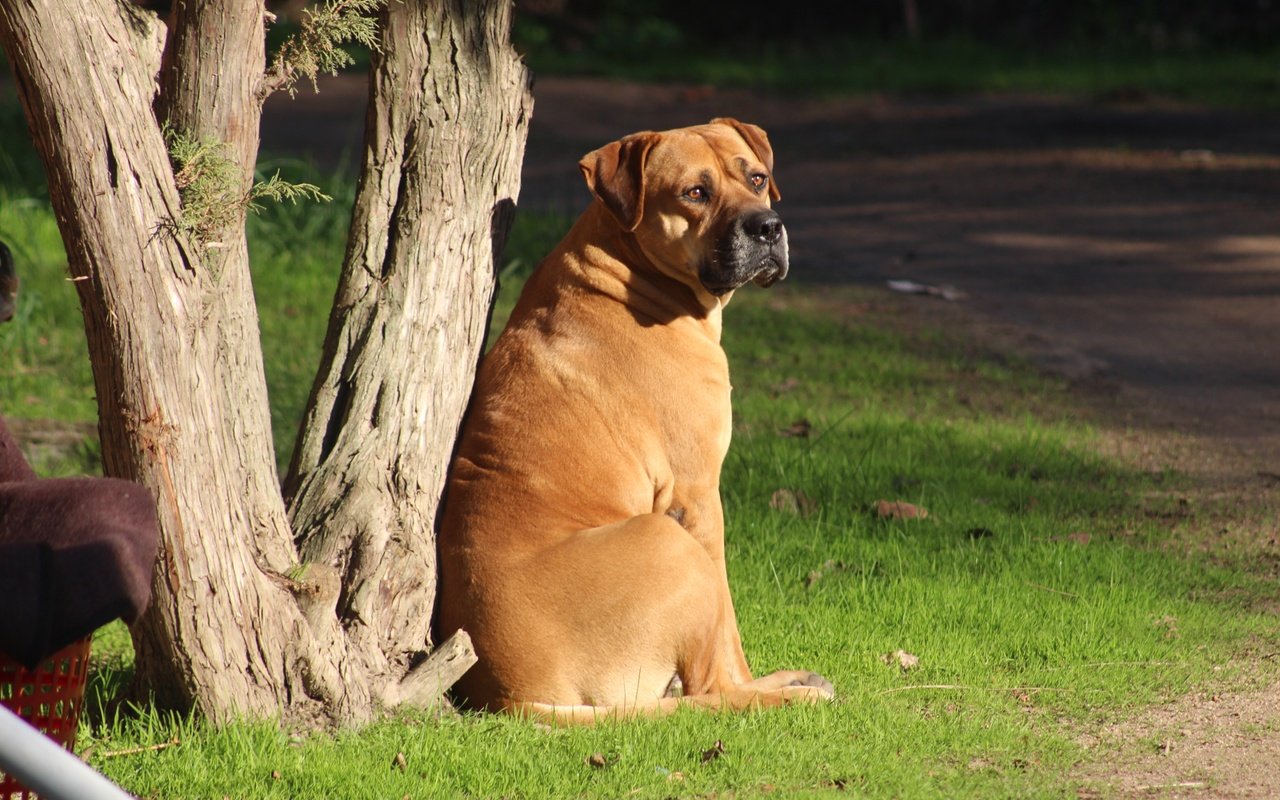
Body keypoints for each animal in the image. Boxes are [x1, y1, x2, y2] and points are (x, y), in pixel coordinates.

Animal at [440, 118, 834, 721]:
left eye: (756, 178)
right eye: (695, 192)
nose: (768, 227)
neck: (629, 267)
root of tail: (514, 697)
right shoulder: (698, 497)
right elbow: (729, 628)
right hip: (669, 543)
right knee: (711, 690)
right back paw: (788, 695)